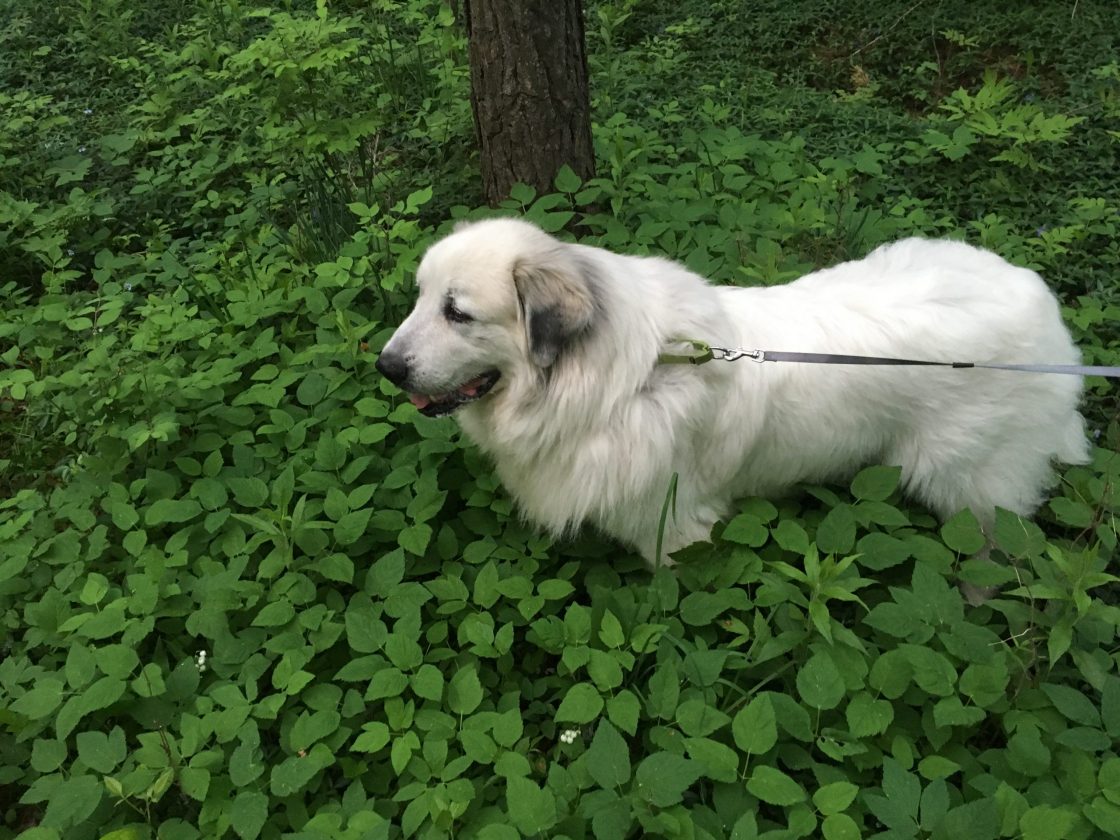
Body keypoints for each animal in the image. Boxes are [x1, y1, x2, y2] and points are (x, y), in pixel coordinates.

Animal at [374, 220, 1084, 568]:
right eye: (419, 297)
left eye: (457, 313)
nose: (386, 367)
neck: (624, 378)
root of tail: (1041, 303)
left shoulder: (674, 527)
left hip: (967, 487)